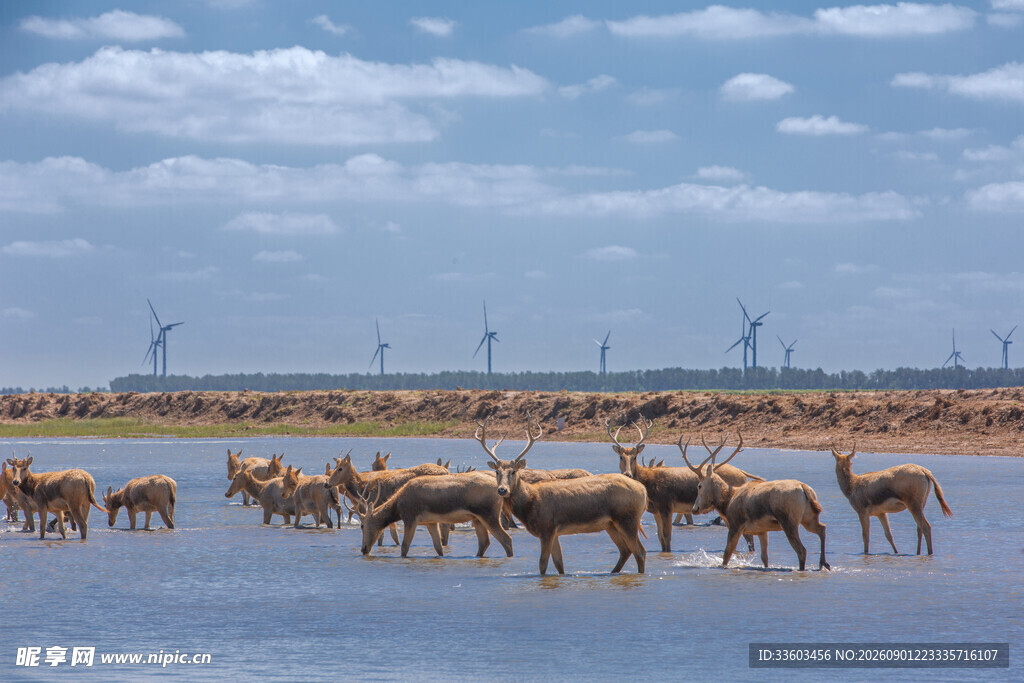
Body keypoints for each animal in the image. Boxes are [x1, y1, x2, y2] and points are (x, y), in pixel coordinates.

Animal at [355, 470, 514, 558]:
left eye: (362, 525)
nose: (363, 549)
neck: (397, 505)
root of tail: (500, 490)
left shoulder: (410, 518)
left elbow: (405, 547)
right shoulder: (430, 522)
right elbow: (439, 548)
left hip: (489, 515)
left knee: (506, 539)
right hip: (477, 519)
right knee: (484, 542)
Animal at [481, 415, 647, 575]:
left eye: (513, 471)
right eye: (497, 472)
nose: (502, 490)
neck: (529, 504)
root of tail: (643, 490)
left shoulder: (547, 527)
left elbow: (543, 564)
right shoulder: (554, 532)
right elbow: (559, 564)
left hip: (627, 519)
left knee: (640, 551)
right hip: (611, 524)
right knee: (626, 550)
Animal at [606, 416, 762, 552]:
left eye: (634, 457)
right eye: (620, 457)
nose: (627, 474)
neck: (648, 485)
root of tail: (743, 474)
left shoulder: (666, 507)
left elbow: (667, 537)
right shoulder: (657, 511)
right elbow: (660, 538)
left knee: (748, 536)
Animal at [685, 434, 830, 571]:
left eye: (699, 486)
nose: (694, 509)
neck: (727, 502)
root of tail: (804, 488)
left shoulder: (736, 524)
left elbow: (726, 555)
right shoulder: (762, 531)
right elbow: (764, 558)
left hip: (789, 521)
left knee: (801, 550)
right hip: (808, 518)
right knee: (822, 528)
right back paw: (824, 563)